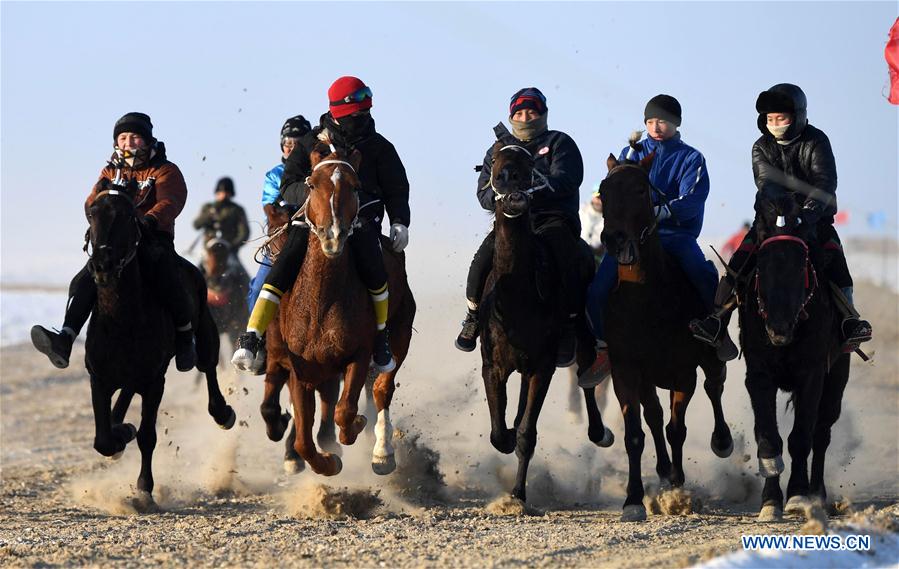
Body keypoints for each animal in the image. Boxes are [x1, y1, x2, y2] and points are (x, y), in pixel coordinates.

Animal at [84, 179, 236, 506]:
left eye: (128, 216)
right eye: (92, 214)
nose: (102, 265)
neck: (122, 319)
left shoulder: (155, 381)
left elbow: (147, 436)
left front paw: (144, 490)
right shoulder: (99, 378)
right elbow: (103, 439)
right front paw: (120, 433)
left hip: (205, 327)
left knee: (208, 365)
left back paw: (222, 413)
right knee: (125, 396)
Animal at [478, 142, 612, 506]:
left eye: (528, 165)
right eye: (493, 162)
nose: (511, 186)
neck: (518, 299)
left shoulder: (543, 365)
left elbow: (527, 433)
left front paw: (518, 494)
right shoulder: (493, 365)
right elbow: (499, 434)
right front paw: (508, 434)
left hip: (581, 337)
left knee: (588, 379)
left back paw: (600, 431)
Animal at [596, 153, 732, 520]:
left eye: (641, 189)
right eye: (603, 190)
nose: (613, 238)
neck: (646, 298)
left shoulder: (683, 373)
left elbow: (677, 428)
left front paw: (677, 483)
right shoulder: (627, 371)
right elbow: (637, 432)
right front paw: (633, 499)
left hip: (709, 358)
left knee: (714, 386)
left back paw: (721, 441)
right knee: (654, 417)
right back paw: (662, 470)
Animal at [740, 195, 852, 520]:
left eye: (801, 265)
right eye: (761, 264)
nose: (778, 327)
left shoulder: (812, 376)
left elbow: (802, 437)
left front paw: (798, 495)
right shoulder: (759, 375)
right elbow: (767, 435)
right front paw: (770, 500)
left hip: (836, 381)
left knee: (822, 434)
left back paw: (818, 494)